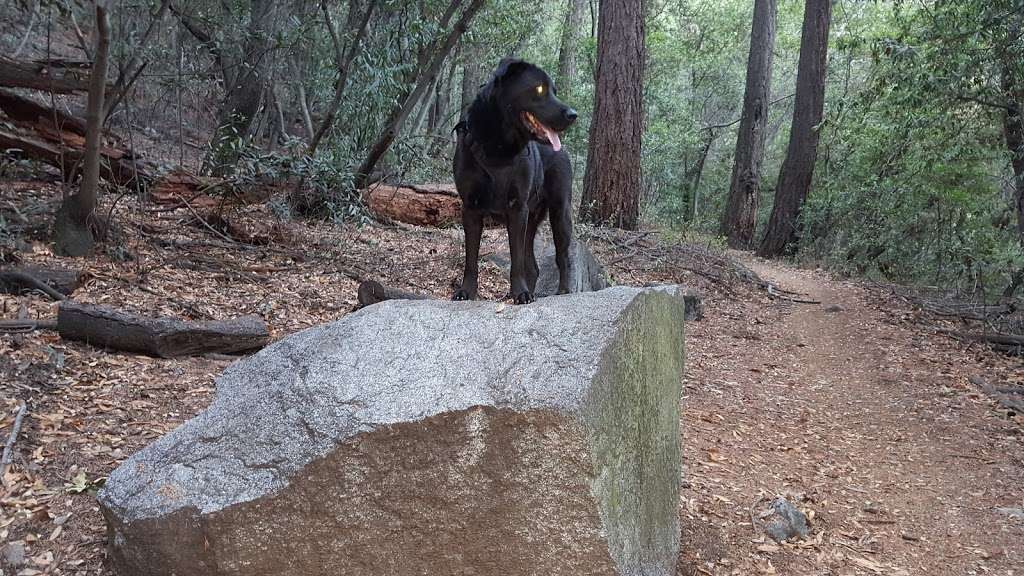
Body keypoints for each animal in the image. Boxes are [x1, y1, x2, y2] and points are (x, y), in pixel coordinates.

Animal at [454, 58, 581, 303]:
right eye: (540, 89)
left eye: (554, 90)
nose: (573, 114)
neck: (498, 149)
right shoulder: (471, 208)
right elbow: (471, 258)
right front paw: (466, 291)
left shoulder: (517, 208)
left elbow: (516, 260)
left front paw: (520, 293)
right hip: (532, 219)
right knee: (533, 267)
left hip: (560, 212)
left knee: (562, 257)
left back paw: (562, 291)